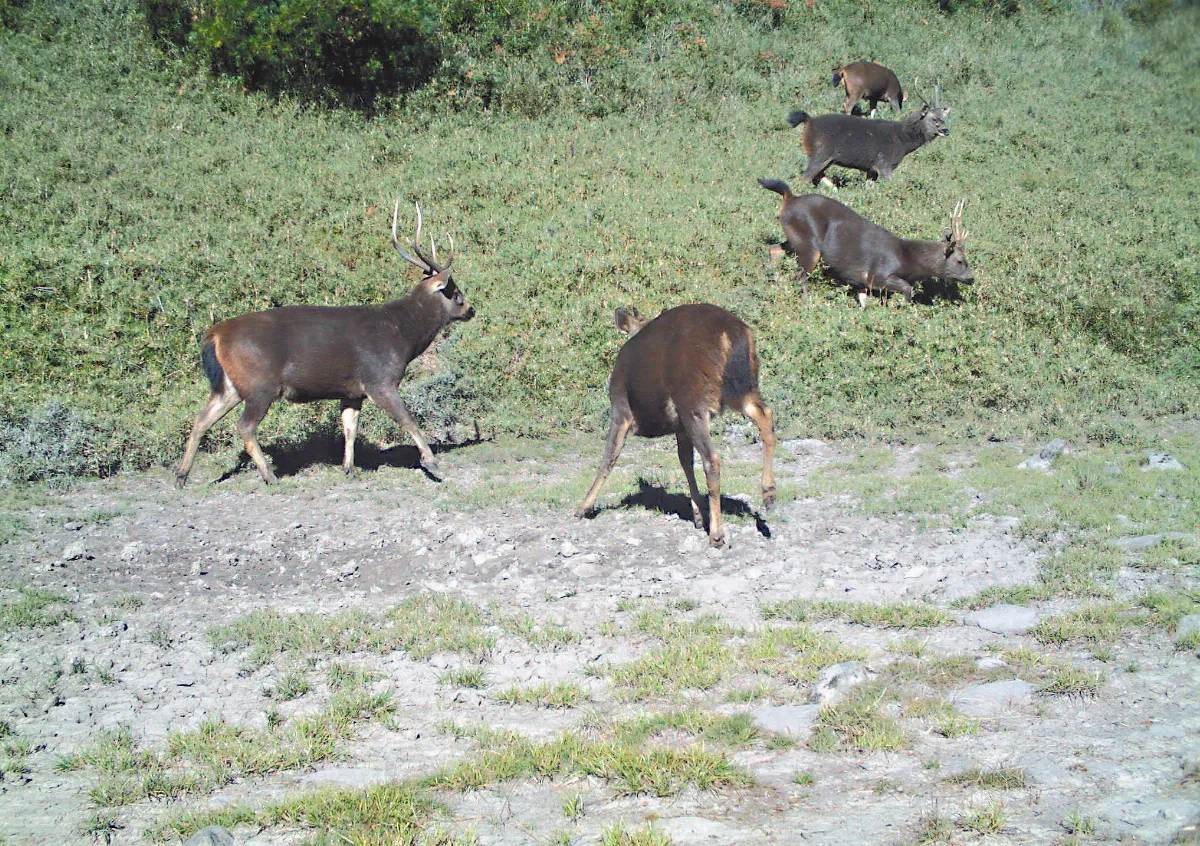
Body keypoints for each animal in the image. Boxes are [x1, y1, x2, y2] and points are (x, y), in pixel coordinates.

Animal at [174, 202, 474, 488]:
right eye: (455, 293)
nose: (471, 310)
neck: (403, 336)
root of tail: (214, 336)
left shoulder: (352, 391)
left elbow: (350, 428)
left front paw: (348, 467)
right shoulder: (380, 379)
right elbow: (408, 419)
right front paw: (431, 461)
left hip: (230, 385)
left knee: (201, 419)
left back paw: (181, 476)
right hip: (260, 383)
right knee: (245, 426)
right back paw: (269, 476)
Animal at [575, 304, 776, 548]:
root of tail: (731, 334)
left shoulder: (621, 409)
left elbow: (608, 457)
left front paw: (583, 507)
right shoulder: (679, 425)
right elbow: (685, 462)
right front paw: (698, 514)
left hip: (694, 401)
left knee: (712, 460)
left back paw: (717, 534)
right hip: (743, 387)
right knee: (766, 417)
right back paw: (768, 494)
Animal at [759, 178, 973, 306]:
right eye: (960, 260)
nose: (971, 279)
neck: (907, 258)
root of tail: (789, 199)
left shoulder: (861, 283)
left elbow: (864, 303)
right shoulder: (876, 275)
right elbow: (907, 288)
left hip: (794, 238)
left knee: (774, 249)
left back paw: (773, 281)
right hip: (809, 245)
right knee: (801, 275)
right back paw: (807, 300)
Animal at [785, 101, 949, 186]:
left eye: (943, 118)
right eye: (934, 119)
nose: (946, 131)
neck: (903, 143)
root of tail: (809, 121)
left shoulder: (871, 169)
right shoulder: (884, 164)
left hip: (826, 158)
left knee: (817, 175)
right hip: (820, 153)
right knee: (805, 178)